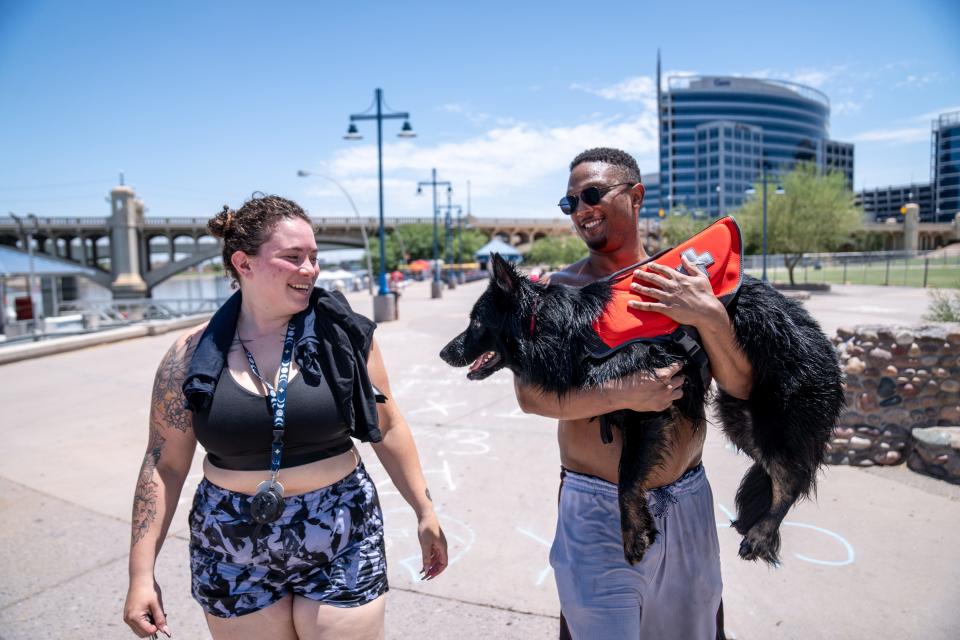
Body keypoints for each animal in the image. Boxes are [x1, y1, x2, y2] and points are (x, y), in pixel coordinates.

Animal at [438, 255, 844, 564]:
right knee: (779, 472)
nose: (443, 353)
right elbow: (629, 477)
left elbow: (627, 477)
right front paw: (644, 525)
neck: (562, 326)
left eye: (476, 322)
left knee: (790, 478)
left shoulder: (648, 407)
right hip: (739, 416)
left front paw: (632, 536)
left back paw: (761, 533)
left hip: (772, 421)